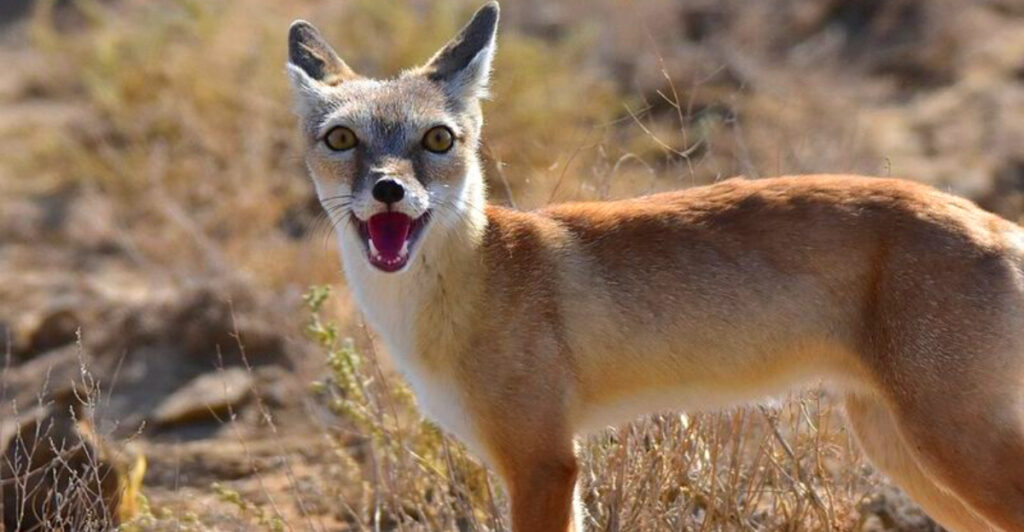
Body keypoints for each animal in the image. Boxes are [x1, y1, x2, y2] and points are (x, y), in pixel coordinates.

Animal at [286, 3, 1024, 531]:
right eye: (342, 139)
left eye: (438, 140)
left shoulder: (543, 463)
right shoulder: (541, 463)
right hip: (900, 449)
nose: (389, 189)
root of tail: (998, 223)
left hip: (945, 445)